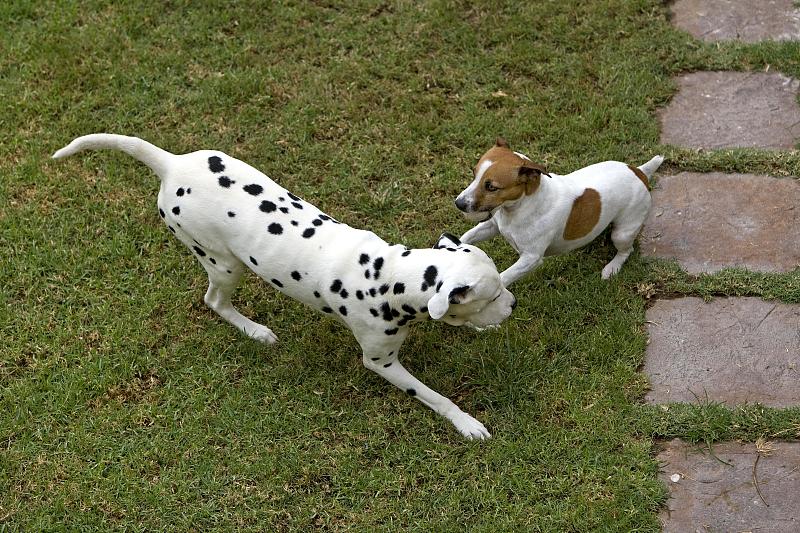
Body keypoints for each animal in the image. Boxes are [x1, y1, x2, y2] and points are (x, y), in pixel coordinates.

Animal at [53, 135, 516, 438]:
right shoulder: (382, 363)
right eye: (491, 295)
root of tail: (172, 163)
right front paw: (467, 423)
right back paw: (254, 331)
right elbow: (435, 396)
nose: (512, 305)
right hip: (224, 264)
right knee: (214, 301)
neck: (385, 276)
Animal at [456, 139, 664, 284]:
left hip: (623, 233)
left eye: (491, 187)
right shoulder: (491, 226)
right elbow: (466, 237)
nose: (458, 203)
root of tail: (640, 172)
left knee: (626, 250)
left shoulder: (531, 259)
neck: (520, 207)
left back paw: (612, 268)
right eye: (474, 174)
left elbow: (503, 277)